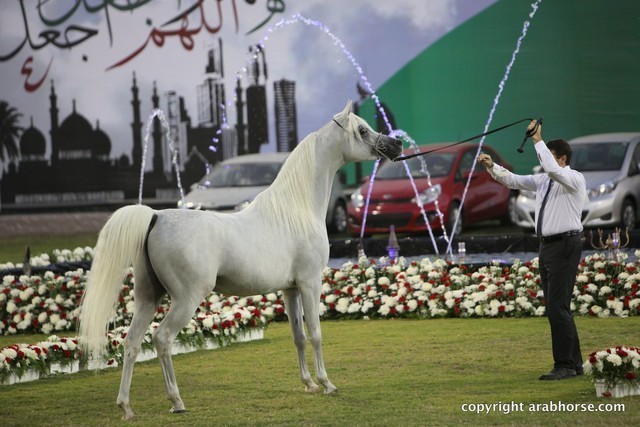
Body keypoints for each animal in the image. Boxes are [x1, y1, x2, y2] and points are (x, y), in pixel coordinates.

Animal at [78, 101, 402, 420]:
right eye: (362, 129)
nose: (396, 144)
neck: (296, 210)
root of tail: (155, 216)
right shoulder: (310, 283)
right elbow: (315, 334)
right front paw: (326, 384)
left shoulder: (291, 289)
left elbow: (298, 336)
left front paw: (309, 383)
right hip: (186, 299)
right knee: (162, 338)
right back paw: (176, 401)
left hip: (148, 296)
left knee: (132, 342)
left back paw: (126, 407)